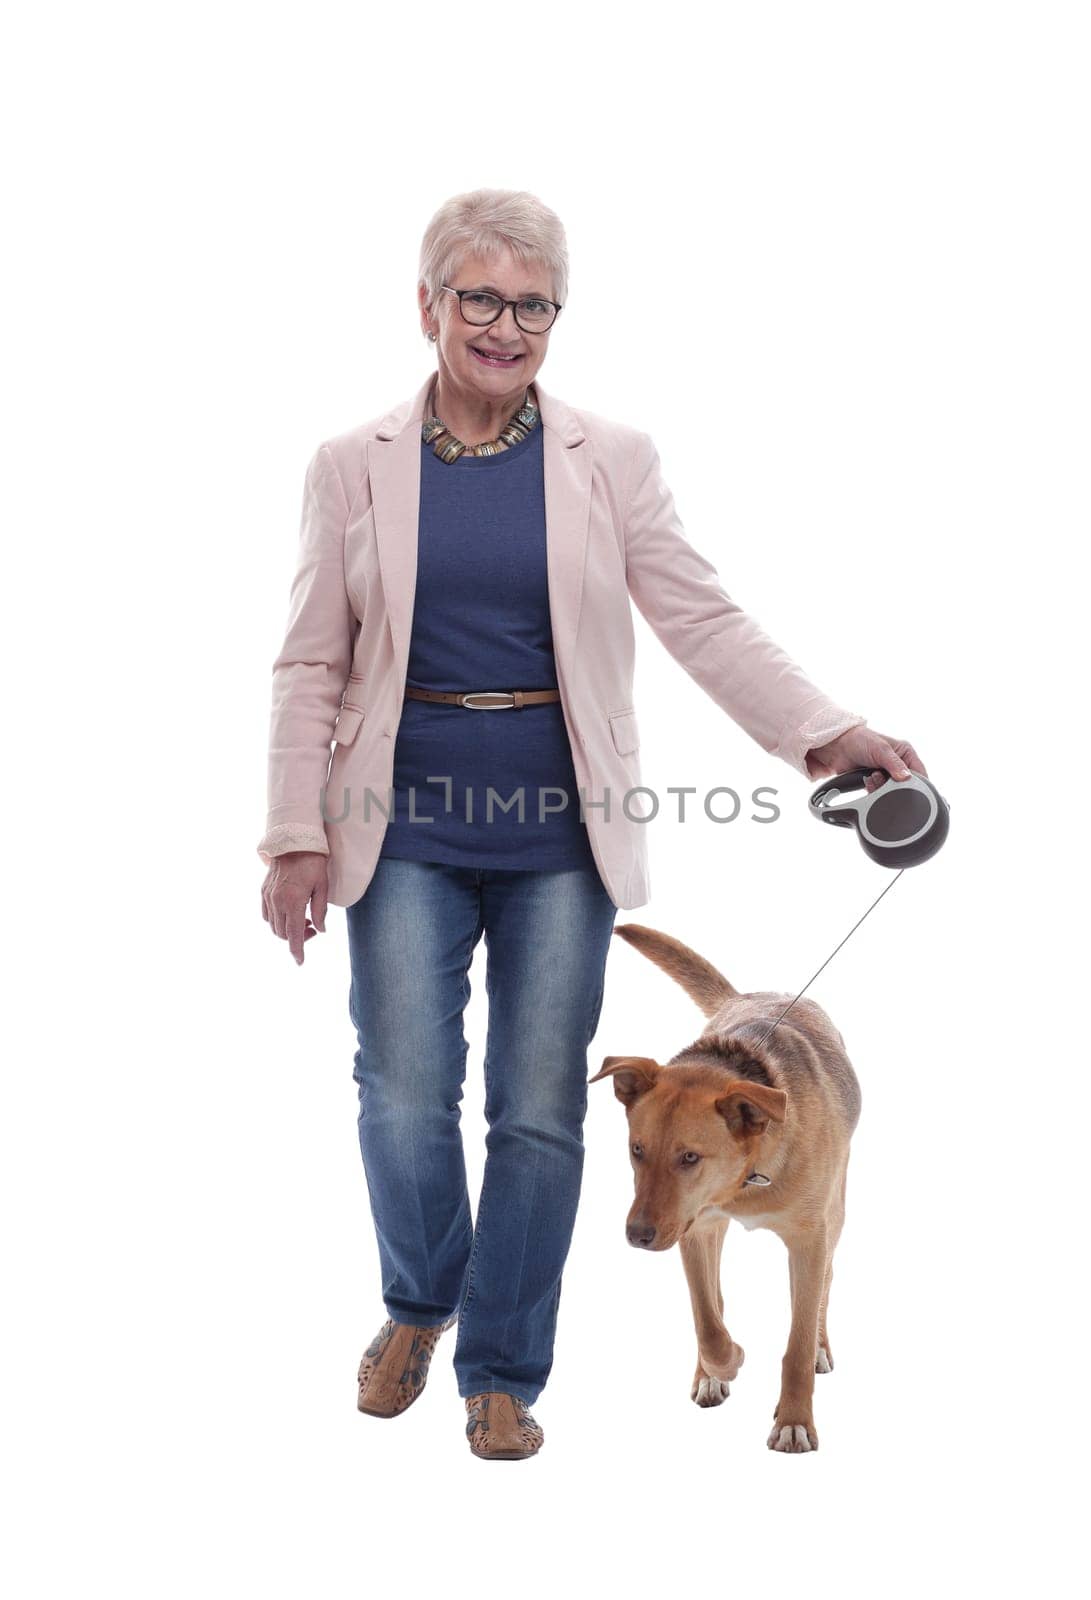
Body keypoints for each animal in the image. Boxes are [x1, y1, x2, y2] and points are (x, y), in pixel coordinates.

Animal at [591, 915, 863, 1452]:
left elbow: (797, 1340)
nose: (637, 1236)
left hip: (836, 1212)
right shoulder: (694, 1228)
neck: (747, 1176)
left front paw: (794, 1419)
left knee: (825, 1283)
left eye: (690, 1157)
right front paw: (725, 1362)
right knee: (714, 1303)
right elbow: (708, 1320)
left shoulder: (809, 1239)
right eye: (637, 1150)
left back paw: (820, 1346)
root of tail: (754, 995)